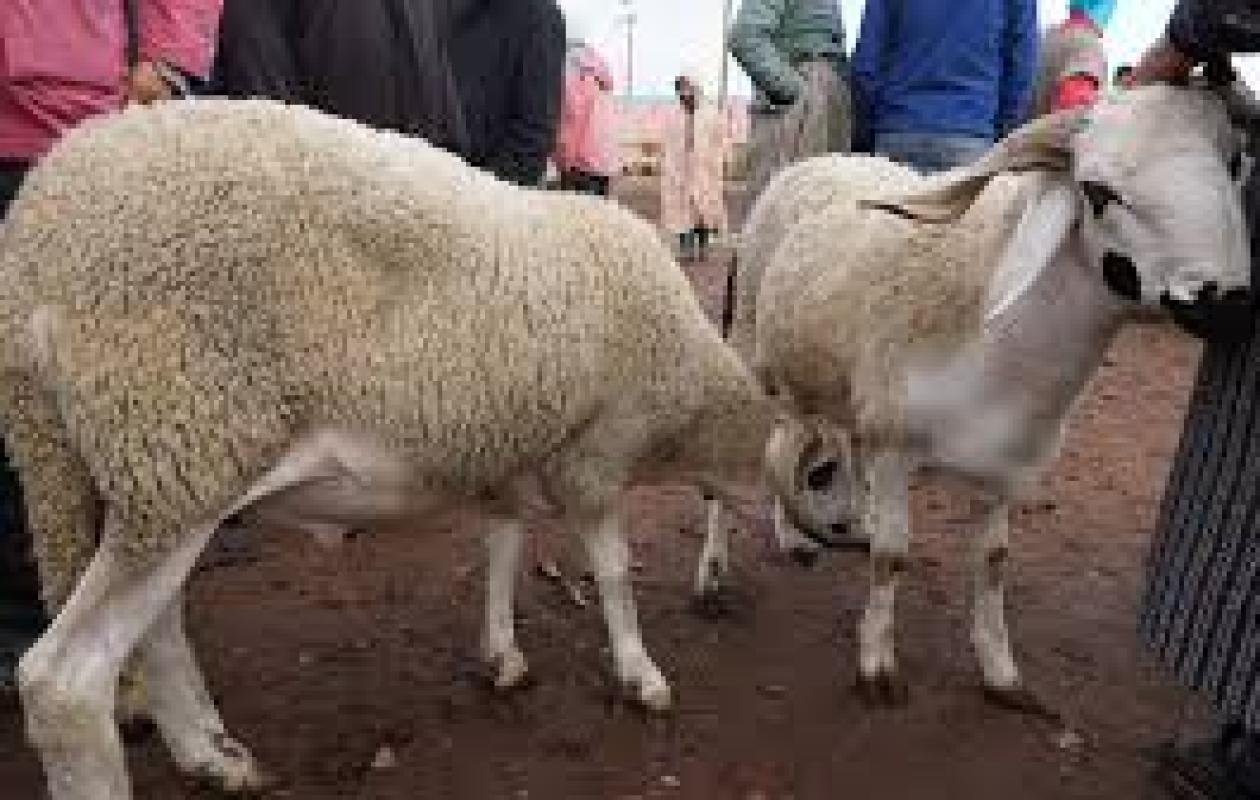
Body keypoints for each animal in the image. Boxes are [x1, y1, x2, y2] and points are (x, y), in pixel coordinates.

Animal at [0, 98, 828, 800]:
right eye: (825, 473)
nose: (821, 550)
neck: (690, 393)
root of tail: (36, 235)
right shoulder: (594, 453)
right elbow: (616, 572)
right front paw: (639, 672)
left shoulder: (508, 452)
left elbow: (502, 548)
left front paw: (502, 657)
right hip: (182, 437)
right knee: (63, 683)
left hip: (144, 469)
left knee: (157, 627)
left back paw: (213, 754)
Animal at [751, 85, 1253, 707]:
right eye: (1098, 191)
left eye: (1235, 163)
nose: (1229, 305)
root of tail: (829, 156)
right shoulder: (894, 449)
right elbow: (892, 558)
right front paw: (878, 665)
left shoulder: (1008, 471)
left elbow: (992, 564)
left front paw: (1000, 671)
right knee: (774, 445)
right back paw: (780, 540)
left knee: (821, 442)